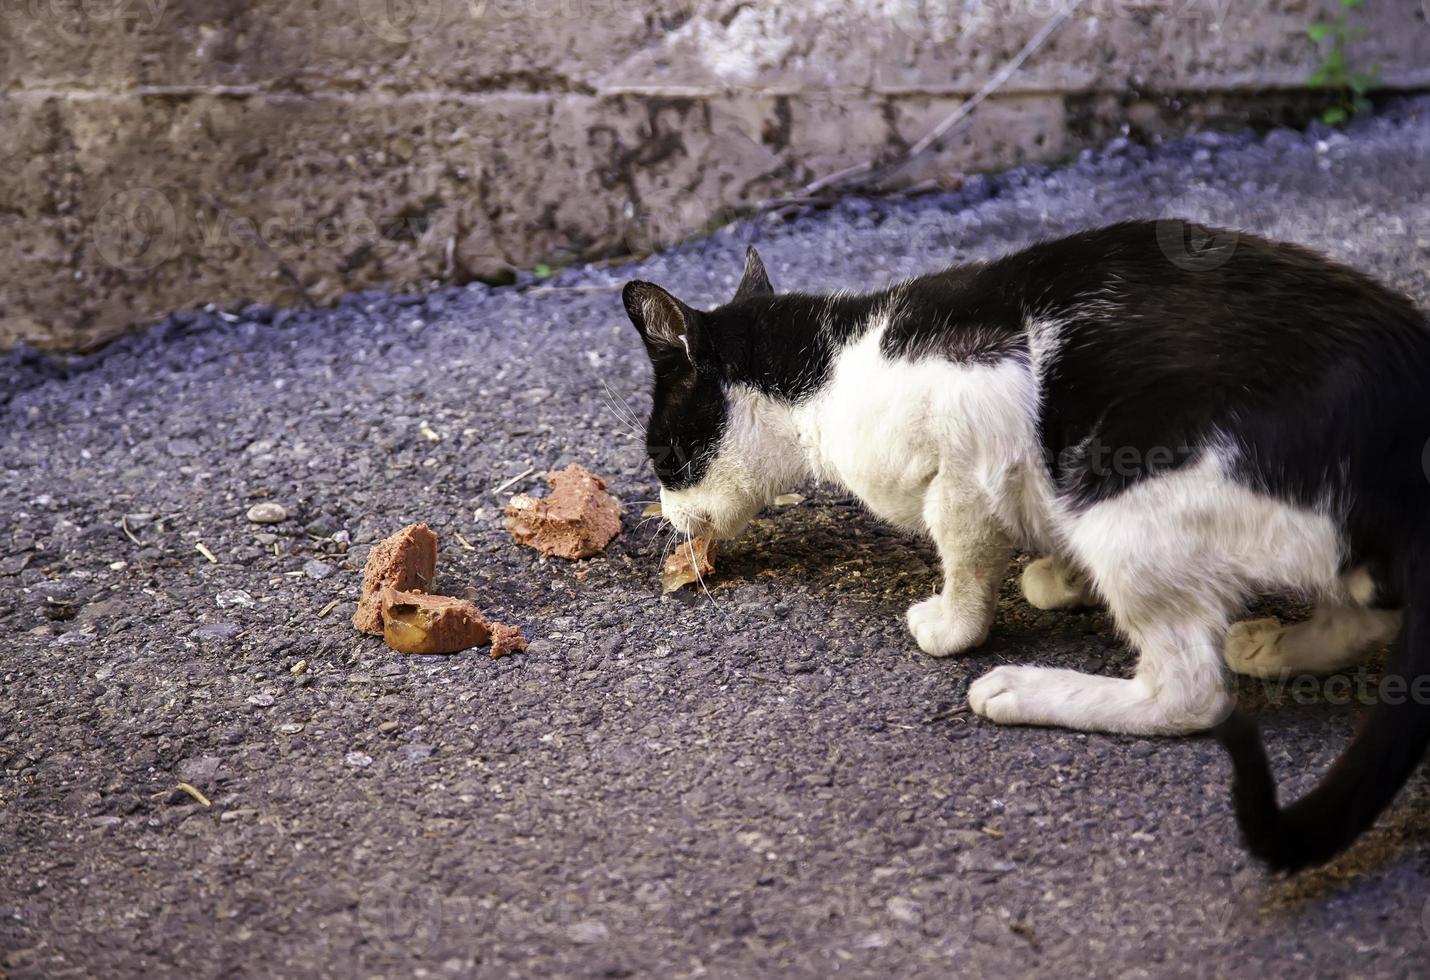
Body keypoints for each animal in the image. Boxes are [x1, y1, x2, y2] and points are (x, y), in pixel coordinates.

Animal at [623, 221, 1430, 869]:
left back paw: (1026, 688)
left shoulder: (973, 423)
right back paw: (1276, 644)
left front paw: (954, 624)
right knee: (1365, 607)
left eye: (661, 453)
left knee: (1190, 692)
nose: (665, 512)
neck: (828, 374)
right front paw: (1057, 575)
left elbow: (966, 552)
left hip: (1121, 494)